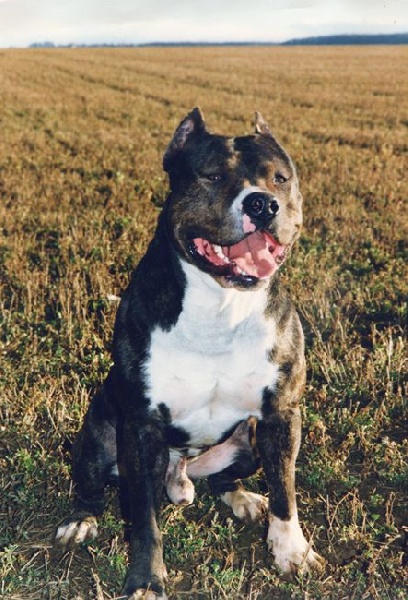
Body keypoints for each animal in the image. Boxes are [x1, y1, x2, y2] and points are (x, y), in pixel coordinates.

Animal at [56, 108, 325, 598]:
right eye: (213, 175)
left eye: (280, 179)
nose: (262, 204)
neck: (220, 304)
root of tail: (180, 472)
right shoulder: (139, 429)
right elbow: (145, 520)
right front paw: (146, 581)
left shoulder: (281, 414)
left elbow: (285, 489)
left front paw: (291, 551)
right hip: (100, 432)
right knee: (91, 483)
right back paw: (81, 520)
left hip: (248, 441)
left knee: (226, 478)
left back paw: (242, 498)